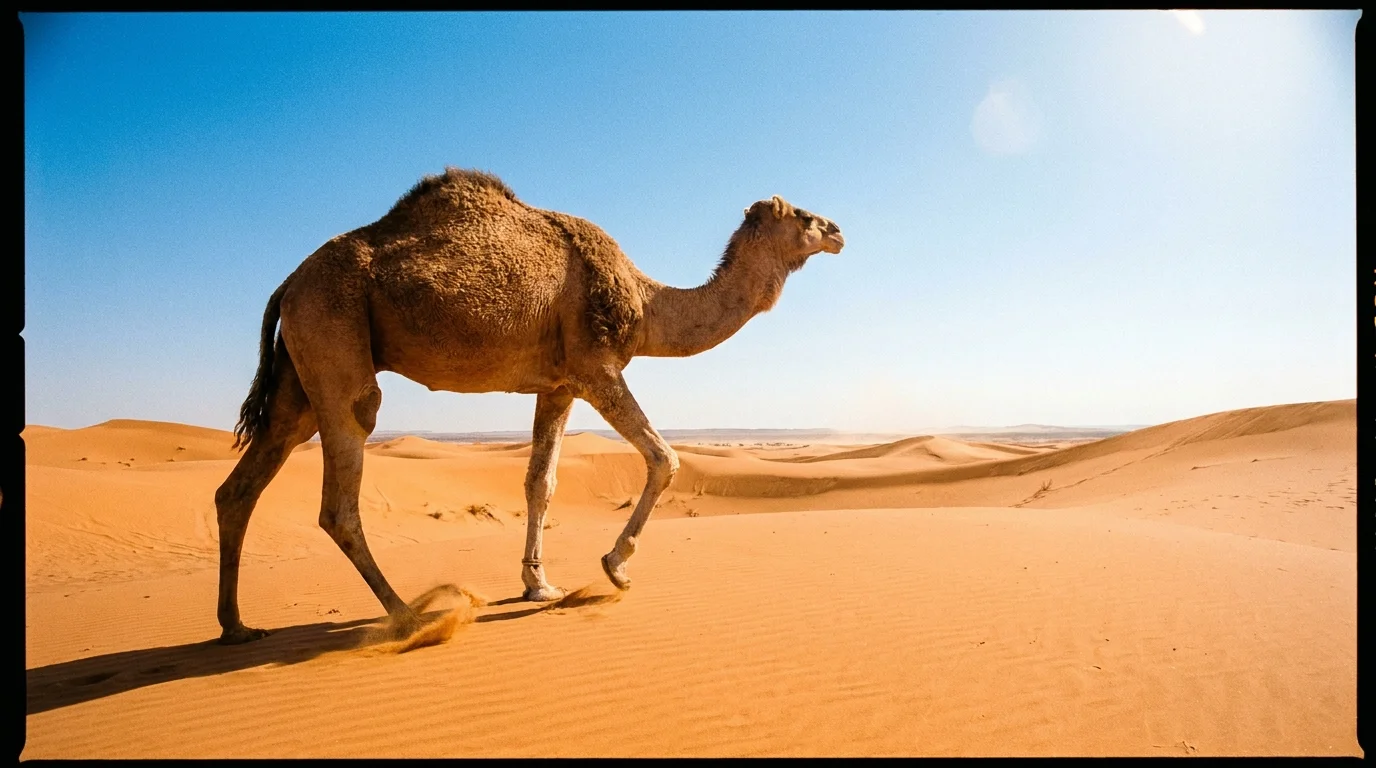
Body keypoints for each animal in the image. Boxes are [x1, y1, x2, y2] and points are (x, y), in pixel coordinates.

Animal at [213, 167, 845, 644]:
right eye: (802, 216)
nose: (839, 229)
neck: (646, 303)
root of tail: (287, 283)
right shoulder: (595, 364)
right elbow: (664, 457)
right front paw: (615, 568)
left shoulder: (557, 384)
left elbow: (540, 481)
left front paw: (539, 585)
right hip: (333, 327)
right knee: (343, 480)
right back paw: (410, 614)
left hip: (299, 370)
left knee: (245, 480)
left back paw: (237, 627)